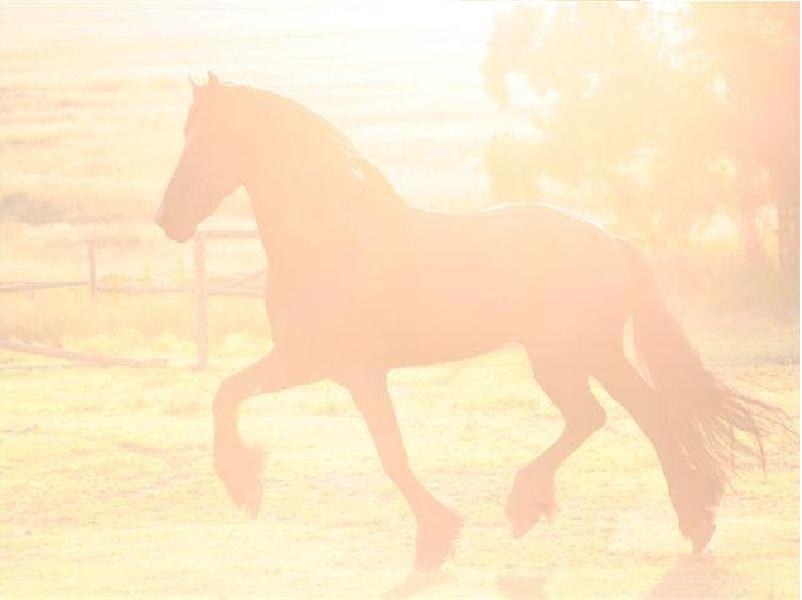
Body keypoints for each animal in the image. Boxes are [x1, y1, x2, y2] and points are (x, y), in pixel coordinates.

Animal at [156, 73, 783, 570]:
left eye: (205, 140)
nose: (167, 219)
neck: (333, 239)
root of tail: (611, 240)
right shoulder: (313, 364)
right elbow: (231, 393)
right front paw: (248, 486)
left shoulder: (344, 368)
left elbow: (386, 451)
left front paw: (436, 534)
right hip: (594, 353)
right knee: (644, 413)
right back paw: (692, 520)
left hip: (561, 357)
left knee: (595, 416)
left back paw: (532, 504)